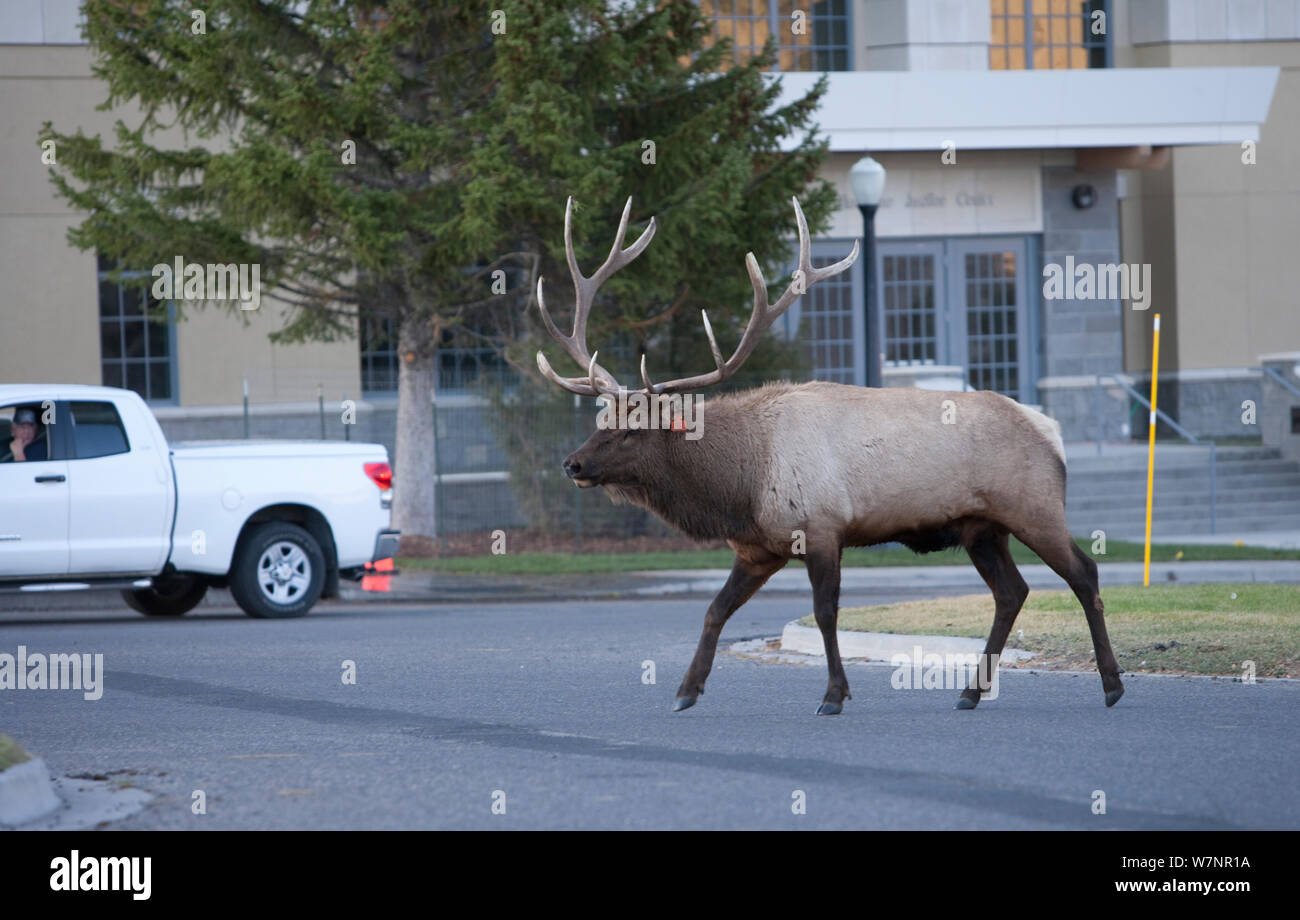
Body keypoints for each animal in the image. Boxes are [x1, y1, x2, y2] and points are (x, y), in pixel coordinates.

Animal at [533, 196, 1123, 712]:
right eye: (601, 419)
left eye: (633, 429)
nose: (572, 464)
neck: (739, 484)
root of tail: (1049, 430)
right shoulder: (758, 548)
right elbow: (714, 610)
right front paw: (685, 691)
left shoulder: (821, 527)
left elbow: (823, 613)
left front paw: (834, 696)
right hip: (982, 527)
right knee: (1012, 592)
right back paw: (970, 693)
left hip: (1034, 506)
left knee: (1084, 573)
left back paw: (1112, 685)